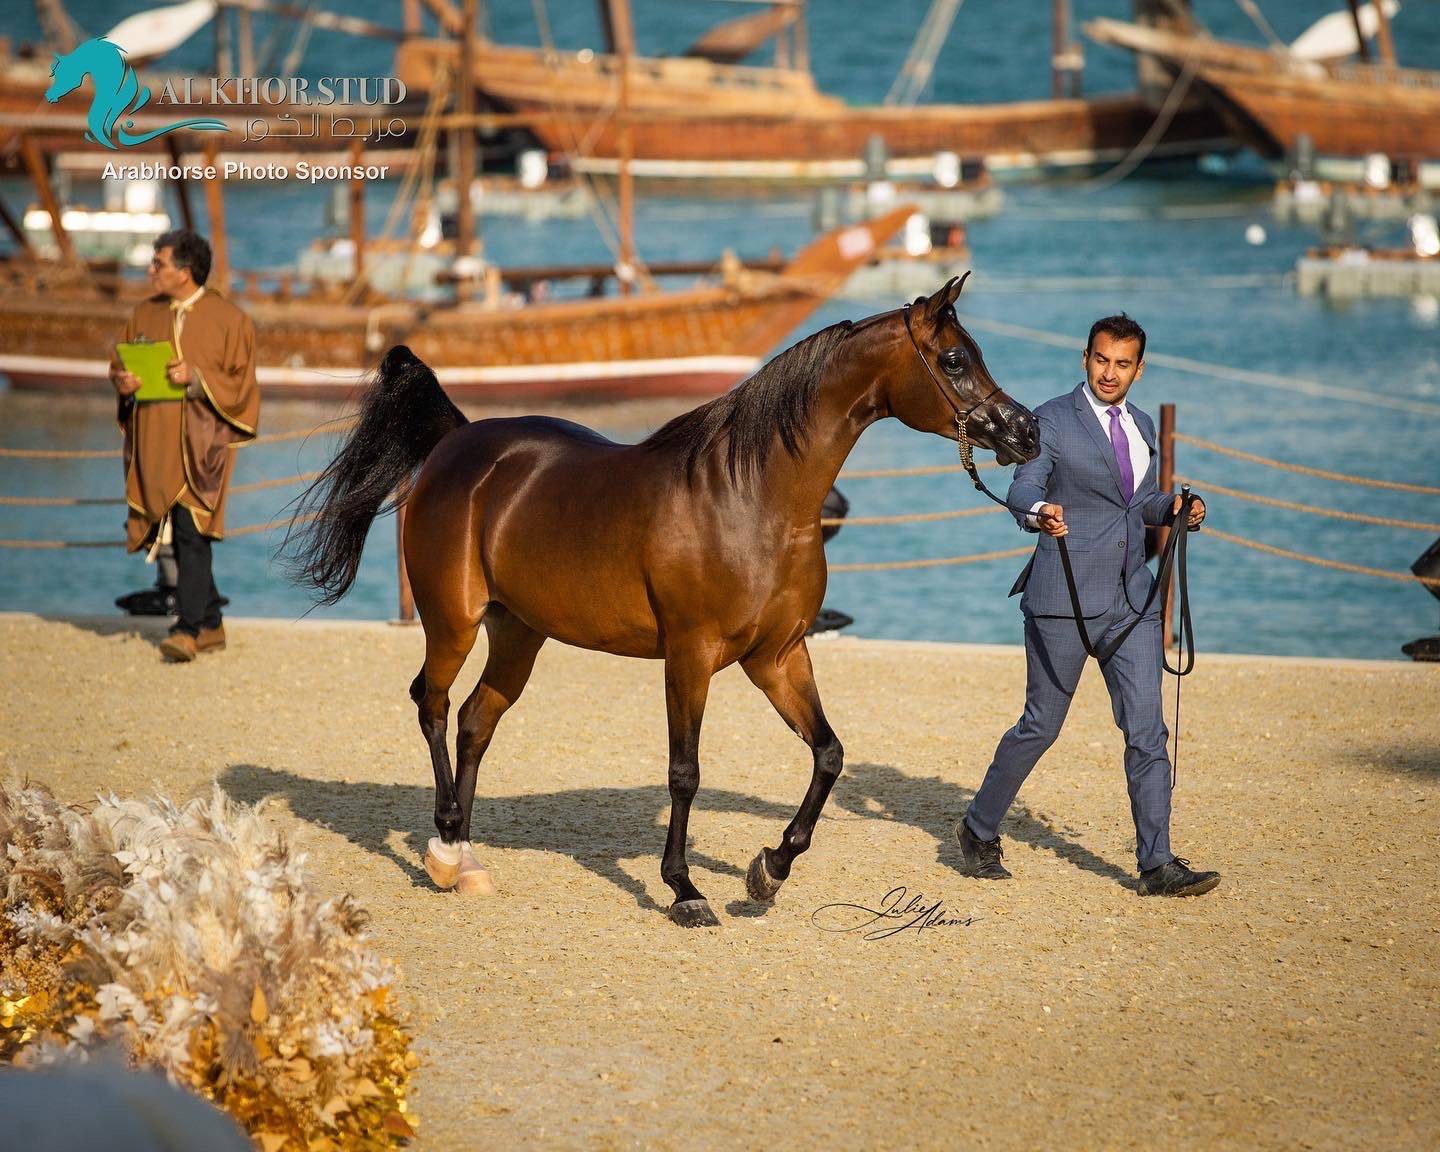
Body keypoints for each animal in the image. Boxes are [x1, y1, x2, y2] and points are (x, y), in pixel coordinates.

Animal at [286, 276, 1040, 927]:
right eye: (954, 360)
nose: (1023, 432)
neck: (752, 498)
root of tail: (457, 442)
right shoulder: (690, 656)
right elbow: (685, 772)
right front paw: (684, 890)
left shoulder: (777, 656)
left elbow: (828, 753)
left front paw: (769, 870)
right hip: (453, 621)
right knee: (433, 704)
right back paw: (442, 849)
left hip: (519, 633)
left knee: (476, 720)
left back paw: (466, 859)